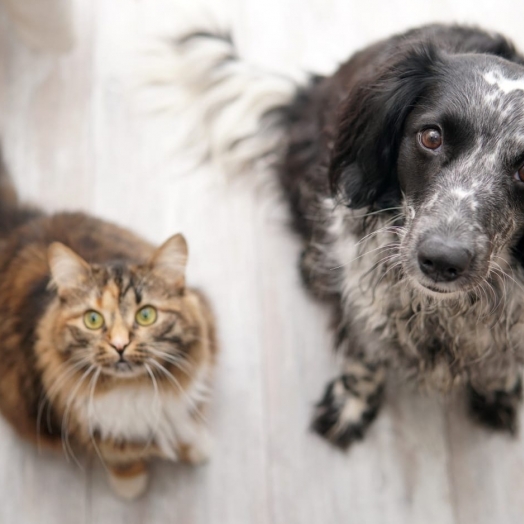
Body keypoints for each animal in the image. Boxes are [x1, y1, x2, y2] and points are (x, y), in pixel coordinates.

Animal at [0, 157, 217, 500]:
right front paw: (130, 483)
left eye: (146, 315)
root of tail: (18, 224)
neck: (133, 391)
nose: (119, 345)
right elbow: (118, 453)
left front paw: (195, 445)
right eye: (93, 319)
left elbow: (184, 420)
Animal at [156, 21, 524, 446]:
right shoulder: (362, 293)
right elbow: (362, 355)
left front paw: (500, 390)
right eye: (432, 137)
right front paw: (350, 405)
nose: (441, 260)